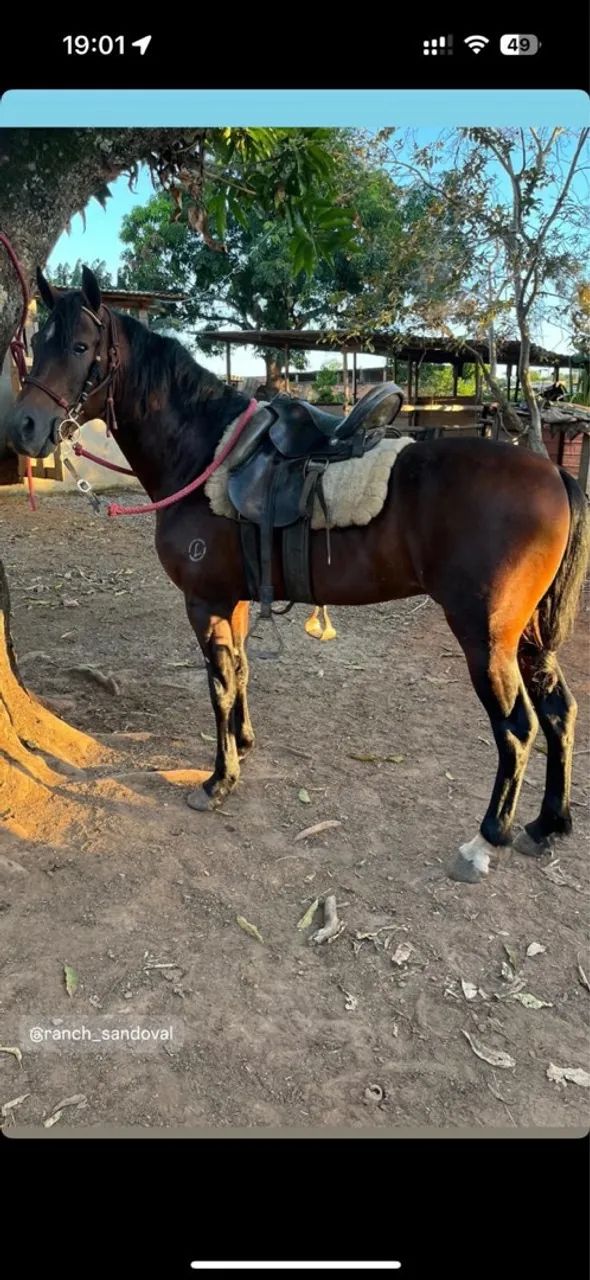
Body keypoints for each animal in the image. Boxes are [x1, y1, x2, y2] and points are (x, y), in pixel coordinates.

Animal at [6, 266, 589, 886]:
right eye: (35, 342)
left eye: (79, 346)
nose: (24, 426)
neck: (206, 454)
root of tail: (554, 473)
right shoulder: (234, 600)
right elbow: (240, 672)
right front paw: (242, 744)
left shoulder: (204, 601)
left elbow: (218, 685)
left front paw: (218, 781)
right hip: (527, 636)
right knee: (559, 712)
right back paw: (547, 824)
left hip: (486, 636)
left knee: (518, 728)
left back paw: (486, 838)